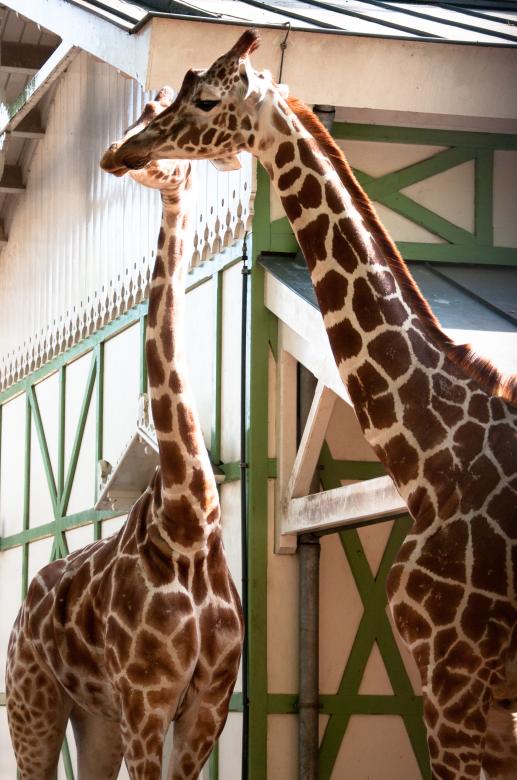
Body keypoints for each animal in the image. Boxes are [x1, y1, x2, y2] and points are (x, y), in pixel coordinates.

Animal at [5, 88, 243, 780]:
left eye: (170, 116)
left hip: (96, 718)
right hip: (31, 699)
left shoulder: (206, 707)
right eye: (145, 106)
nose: (116, 153)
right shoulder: (147, 700)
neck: (192, 526)